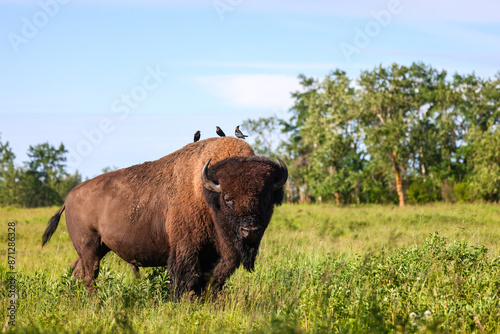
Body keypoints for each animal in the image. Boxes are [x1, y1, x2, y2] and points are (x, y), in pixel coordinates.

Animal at [41, 137, 288, 296]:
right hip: (89, 247)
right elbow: (186, 280)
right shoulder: (186, 250)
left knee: (77, 272)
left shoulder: (218, 258)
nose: (250, 231)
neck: (207, 194)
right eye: (228, 198)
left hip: (99, 247)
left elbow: (213, 282)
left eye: (267, 197)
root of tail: (69, 197)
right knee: (89, 276)